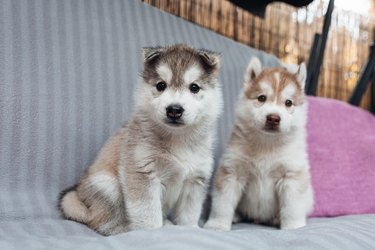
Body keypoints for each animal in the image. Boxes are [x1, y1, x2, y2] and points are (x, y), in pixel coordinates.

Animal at [58, 44, 223, 236]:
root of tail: (78, 193)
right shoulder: (142, 173)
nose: (174, 110)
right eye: (161, 85)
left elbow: (189, 214)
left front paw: (190, 230)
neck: (177, 138)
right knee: (103, 220)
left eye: (194, 87)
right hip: (107, 186)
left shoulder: (195, 181)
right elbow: (148, 215)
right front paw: (150, 233)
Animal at [204, 57, 312, 231]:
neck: (267, 143)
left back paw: (276, 219)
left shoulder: (291, 175)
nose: (273, 118)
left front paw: (293, 227)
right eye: (262, 98)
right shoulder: (232, 172)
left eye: (288, 103)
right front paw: (217, 225)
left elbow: (292, 208)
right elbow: (223, 204)